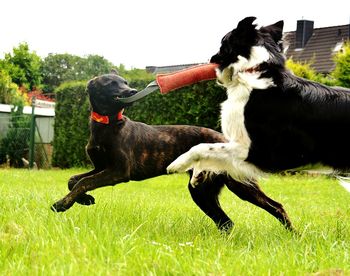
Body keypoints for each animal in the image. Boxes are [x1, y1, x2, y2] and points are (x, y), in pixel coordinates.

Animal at [51, 73, 292, 231]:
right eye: (111, 83)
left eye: (125, 82)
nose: (132, 91)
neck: (108, 124)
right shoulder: (101, 167)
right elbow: (74, 180)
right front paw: (85, 200)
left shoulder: (119, 171)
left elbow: (83, 182)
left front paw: (62, 204)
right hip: (201, 191)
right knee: (226, 223)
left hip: (239, 184)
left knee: (276, 206)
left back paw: (293, 235)